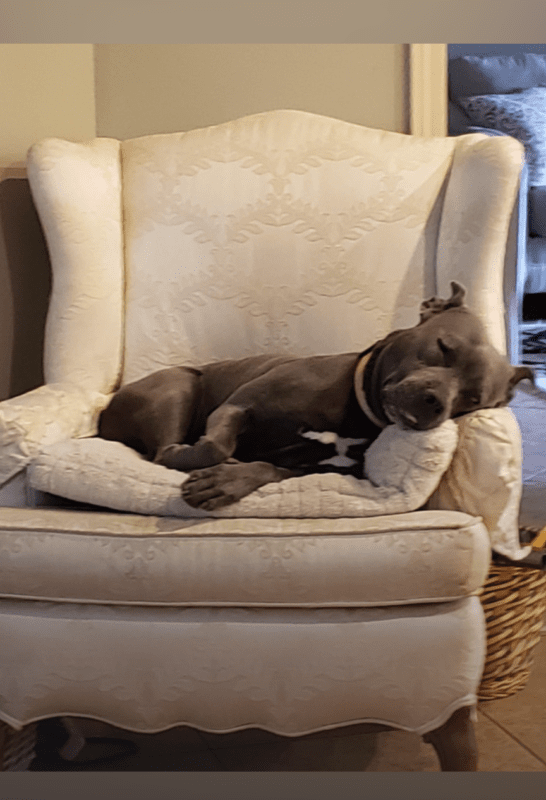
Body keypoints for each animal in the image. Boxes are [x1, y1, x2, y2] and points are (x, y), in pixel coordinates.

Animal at [99, 282, 532, 506]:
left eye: (473, 399)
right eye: (443, 347)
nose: (436, 402)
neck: (354, 410)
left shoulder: (318, 468)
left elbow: (270, 468)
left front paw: (229, 480)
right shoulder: (236, 406)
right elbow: (214, 447)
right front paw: (214, 465)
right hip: (179, 385)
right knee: (163, 451)